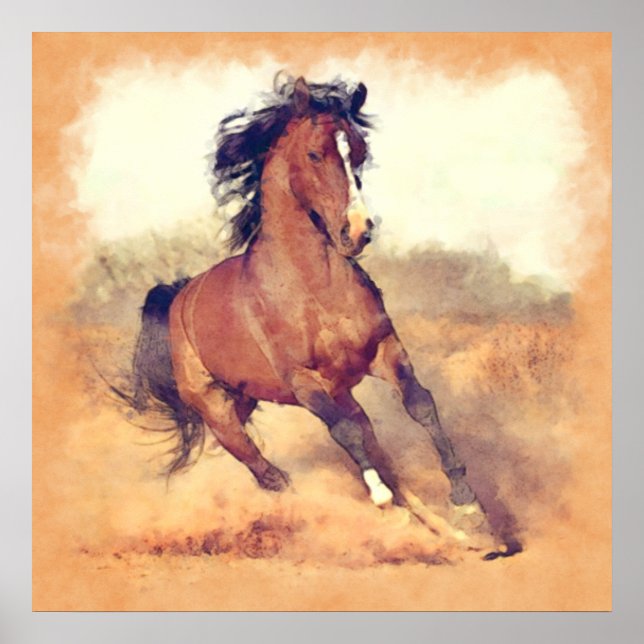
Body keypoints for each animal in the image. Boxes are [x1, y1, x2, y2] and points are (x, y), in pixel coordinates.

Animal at [130, 76, 519, 557]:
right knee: (270, 474)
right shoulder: (303, 381)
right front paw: (383, 505)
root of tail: (180, 297)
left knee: (383, 462)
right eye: (315, 153)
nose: (358, 230)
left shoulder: (384, 351)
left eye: (360, 152)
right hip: (220, 413)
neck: (313, 288)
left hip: (304, 396)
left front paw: (468, 507)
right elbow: (347, 439)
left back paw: (457, 536)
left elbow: (420, 405)